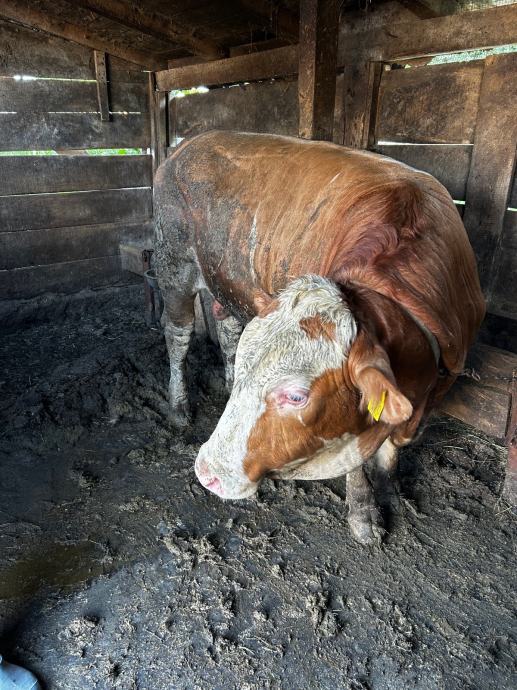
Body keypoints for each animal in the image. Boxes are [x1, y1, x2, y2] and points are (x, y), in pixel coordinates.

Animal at [154, 131, 485, 544]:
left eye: (296, 396)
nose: (205, 471)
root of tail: (189, 142)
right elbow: (356, 460)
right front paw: (364, 514)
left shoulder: (440, 384)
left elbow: (389, 453)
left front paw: (390, 489)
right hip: (174, 266)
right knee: (177, 335)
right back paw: (179, 406)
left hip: (227, 280)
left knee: (227, 328)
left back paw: (227, 381)